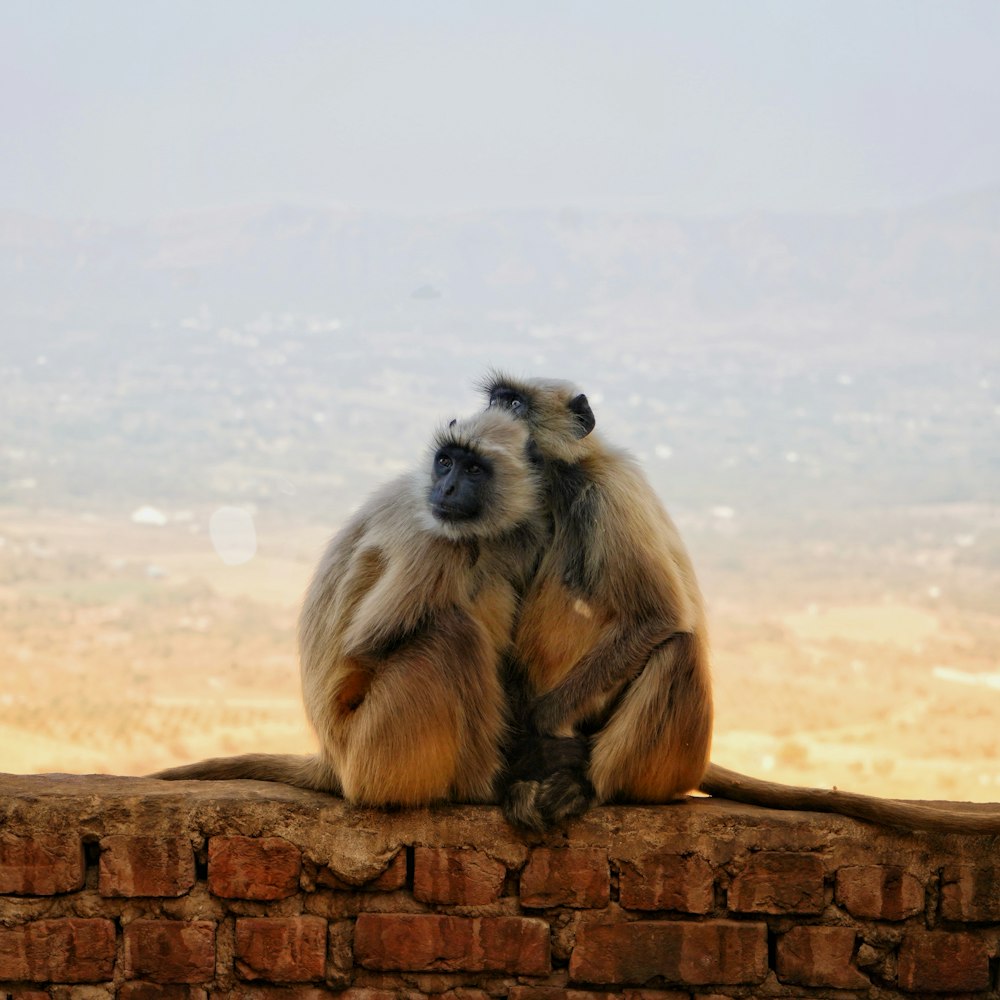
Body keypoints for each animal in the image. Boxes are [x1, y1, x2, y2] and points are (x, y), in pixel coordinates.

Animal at [150, 410, 548, 808]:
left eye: (474, 470)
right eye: (446, 462)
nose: (446, 489)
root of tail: (332, 762)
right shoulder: (433, 539)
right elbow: (365, 645)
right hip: (376, 748)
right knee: (454, 634)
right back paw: (480, 787)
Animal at [488, 372, 1000, 840]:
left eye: (514, 404)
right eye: (496, 400)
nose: (492, 418)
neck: (564, 483)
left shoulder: (609, 495)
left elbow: (659, 617)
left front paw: (538, 729)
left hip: (672, 758)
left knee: (677, 649)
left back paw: (586, 787)